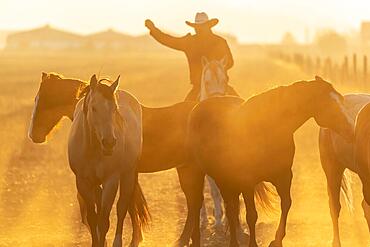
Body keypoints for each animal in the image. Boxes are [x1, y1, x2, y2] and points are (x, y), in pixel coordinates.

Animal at [28, 72, 202, 246]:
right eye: (36, 99)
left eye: (43, 99)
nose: (33, 134)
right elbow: (104, 213)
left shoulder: (122, 176)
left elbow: (122, 209)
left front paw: (132, 239)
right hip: (186, 169)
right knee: (193, 204)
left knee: (194, 205)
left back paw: (184, 239)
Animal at [186, 76, 354, 246]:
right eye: (329, 104)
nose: (350, 130)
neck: (268, 127)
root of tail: (197, 109)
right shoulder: (247, 182)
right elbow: (251, 215)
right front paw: (254, 243)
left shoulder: (284, 176)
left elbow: (286, 204)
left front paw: (277, 240)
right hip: (208, 176)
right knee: (215, 207)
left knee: (231, 208)